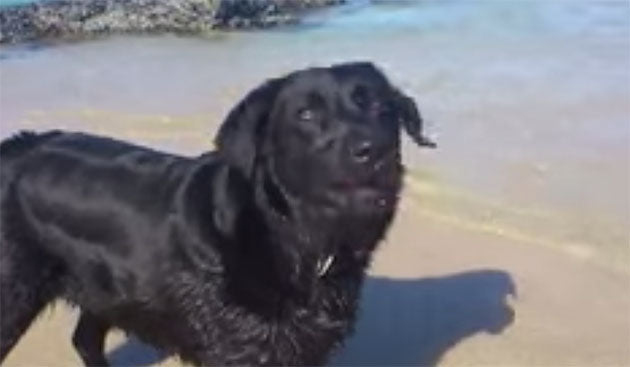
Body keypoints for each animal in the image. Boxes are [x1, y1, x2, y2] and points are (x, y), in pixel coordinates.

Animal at [0, 61, 436, 366]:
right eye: (306, 114)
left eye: (380, 105)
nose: (374, 149)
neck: (291, 237)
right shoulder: (241, 349)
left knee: (85, 340)